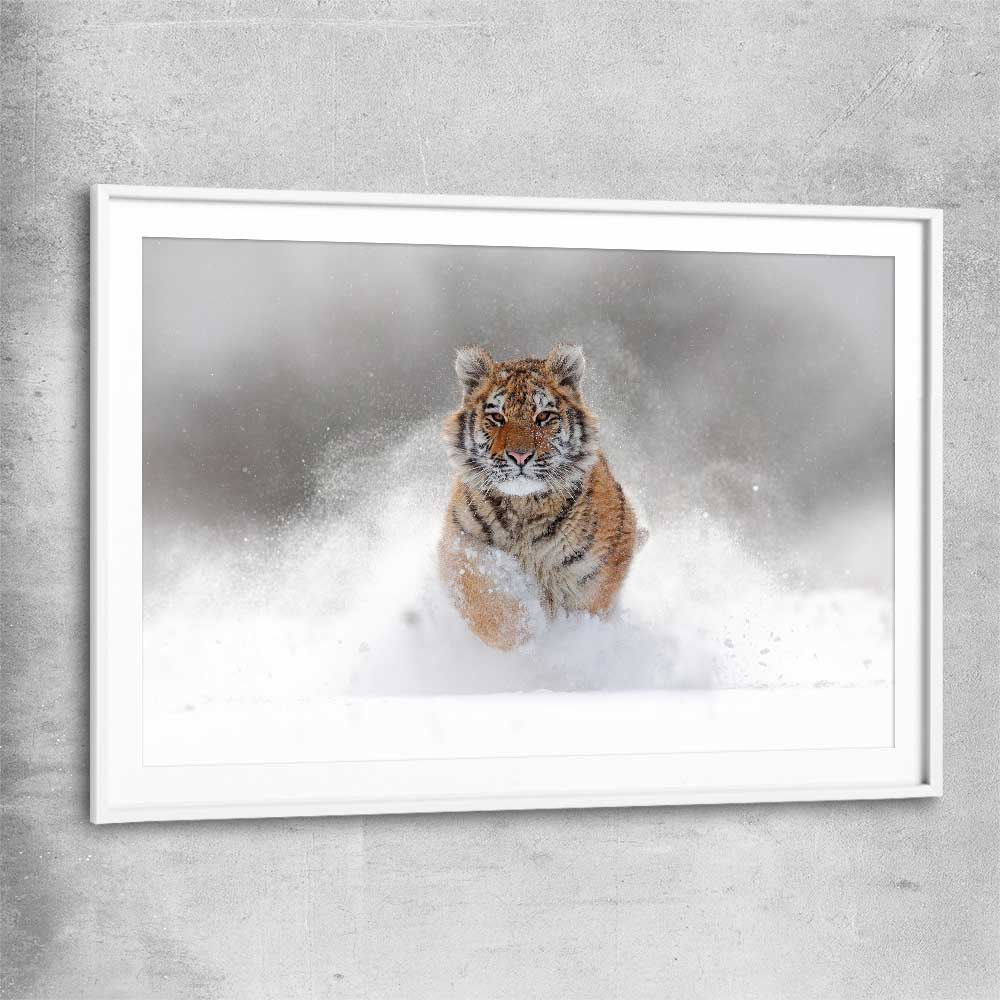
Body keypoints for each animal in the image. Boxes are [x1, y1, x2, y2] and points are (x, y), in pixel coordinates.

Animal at [439, 343, 642, 651]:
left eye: (543, 416)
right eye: (497, 417)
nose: (520, 456)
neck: (524, 507)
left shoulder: (595, 570)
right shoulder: (461, 544)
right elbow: (486, 601)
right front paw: (523, 635)